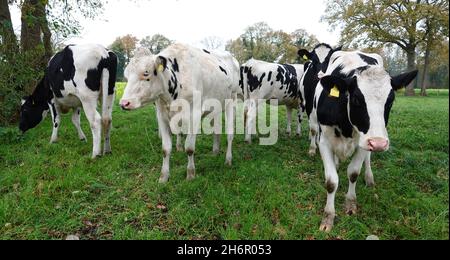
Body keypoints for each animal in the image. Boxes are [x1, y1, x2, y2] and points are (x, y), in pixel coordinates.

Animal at [118, 43, 239, 184]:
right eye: (126, 75)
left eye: (146, 73)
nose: (124, 103)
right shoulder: (162, 116)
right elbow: (166, 149)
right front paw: (163, 176)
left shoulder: (194, 115)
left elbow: (190, 148)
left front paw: (191, 174)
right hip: (216, 105)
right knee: (216, 129)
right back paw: (215, 151)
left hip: (232, 100)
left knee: (230, 134)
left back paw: (228, 160)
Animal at [310, 50, 418, 232]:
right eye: (356, 99)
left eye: (390, 101)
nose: (379, 143)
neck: (346, 125)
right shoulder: (323, 141)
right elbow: (331, 181)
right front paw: (328, 216)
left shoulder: (363, 143)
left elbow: (353, 172)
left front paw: (350, 203)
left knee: (367, 160)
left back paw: (369, 178)